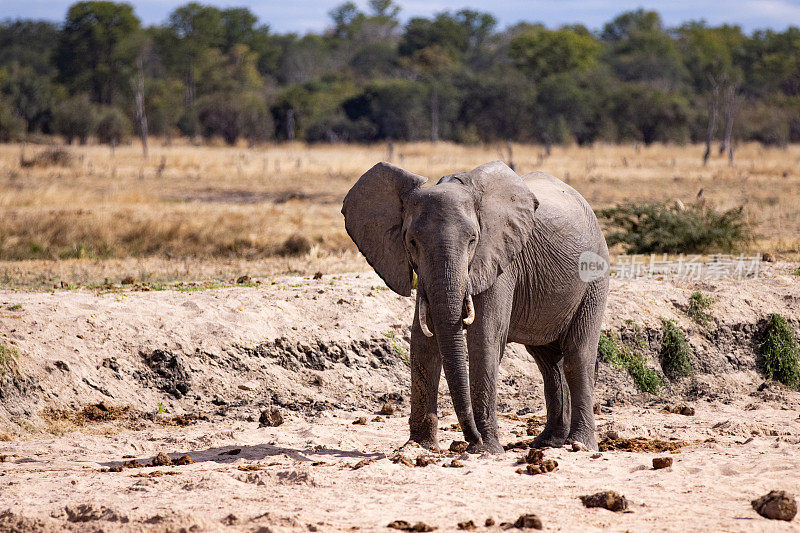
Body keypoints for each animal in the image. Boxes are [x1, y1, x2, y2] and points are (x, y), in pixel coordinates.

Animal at [340, 160, 608, 450]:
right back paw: (548, 442)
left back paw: (580, 444)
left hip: (595, 276)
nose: (471, 438)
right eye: (411, 242)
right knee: (548, 362)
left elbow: (484, 337)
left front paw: (485, 450)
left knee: (577, 356)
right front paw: (420, 447)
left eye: (472, 240)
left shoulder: (500, 259)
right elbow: (423, 340)